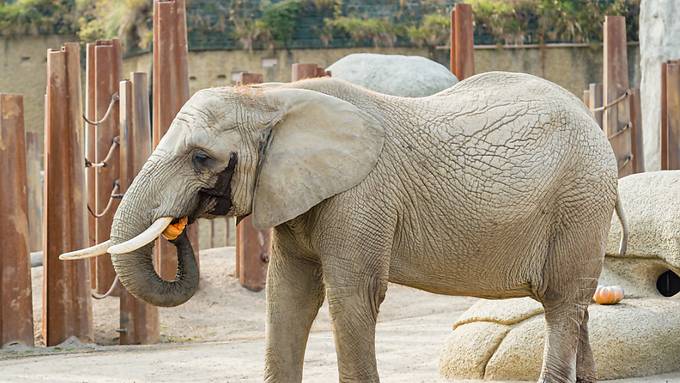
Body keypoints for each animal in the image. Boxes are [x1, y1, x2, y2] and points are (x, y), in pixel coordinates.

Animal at [63, 72, 628, 383]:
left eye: (202, 158)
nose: (180, 224)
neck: (276, 98)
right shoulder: (295, 195)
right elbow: (288, 296)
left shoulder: (361, 195)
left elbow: (351, 296)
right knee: (574, 305)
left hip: (579, 201)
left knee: (561, 301)